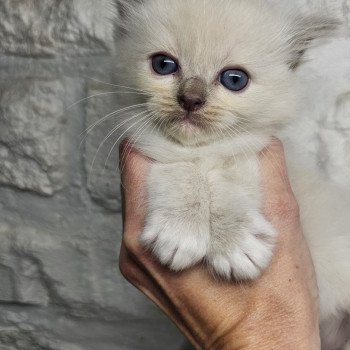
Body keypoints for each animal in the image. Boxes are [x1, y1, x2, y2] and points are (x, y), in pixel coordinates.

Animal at [116, 1, 348, 348]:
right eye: (164, 65)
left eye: (234, 80)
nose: (190, 100)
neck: (204, 153)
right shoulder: (156, 147)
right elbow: (180, 172)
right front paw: (181, 232)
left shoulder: (251, 152)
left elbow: (231, 184)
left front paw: (235, 243)